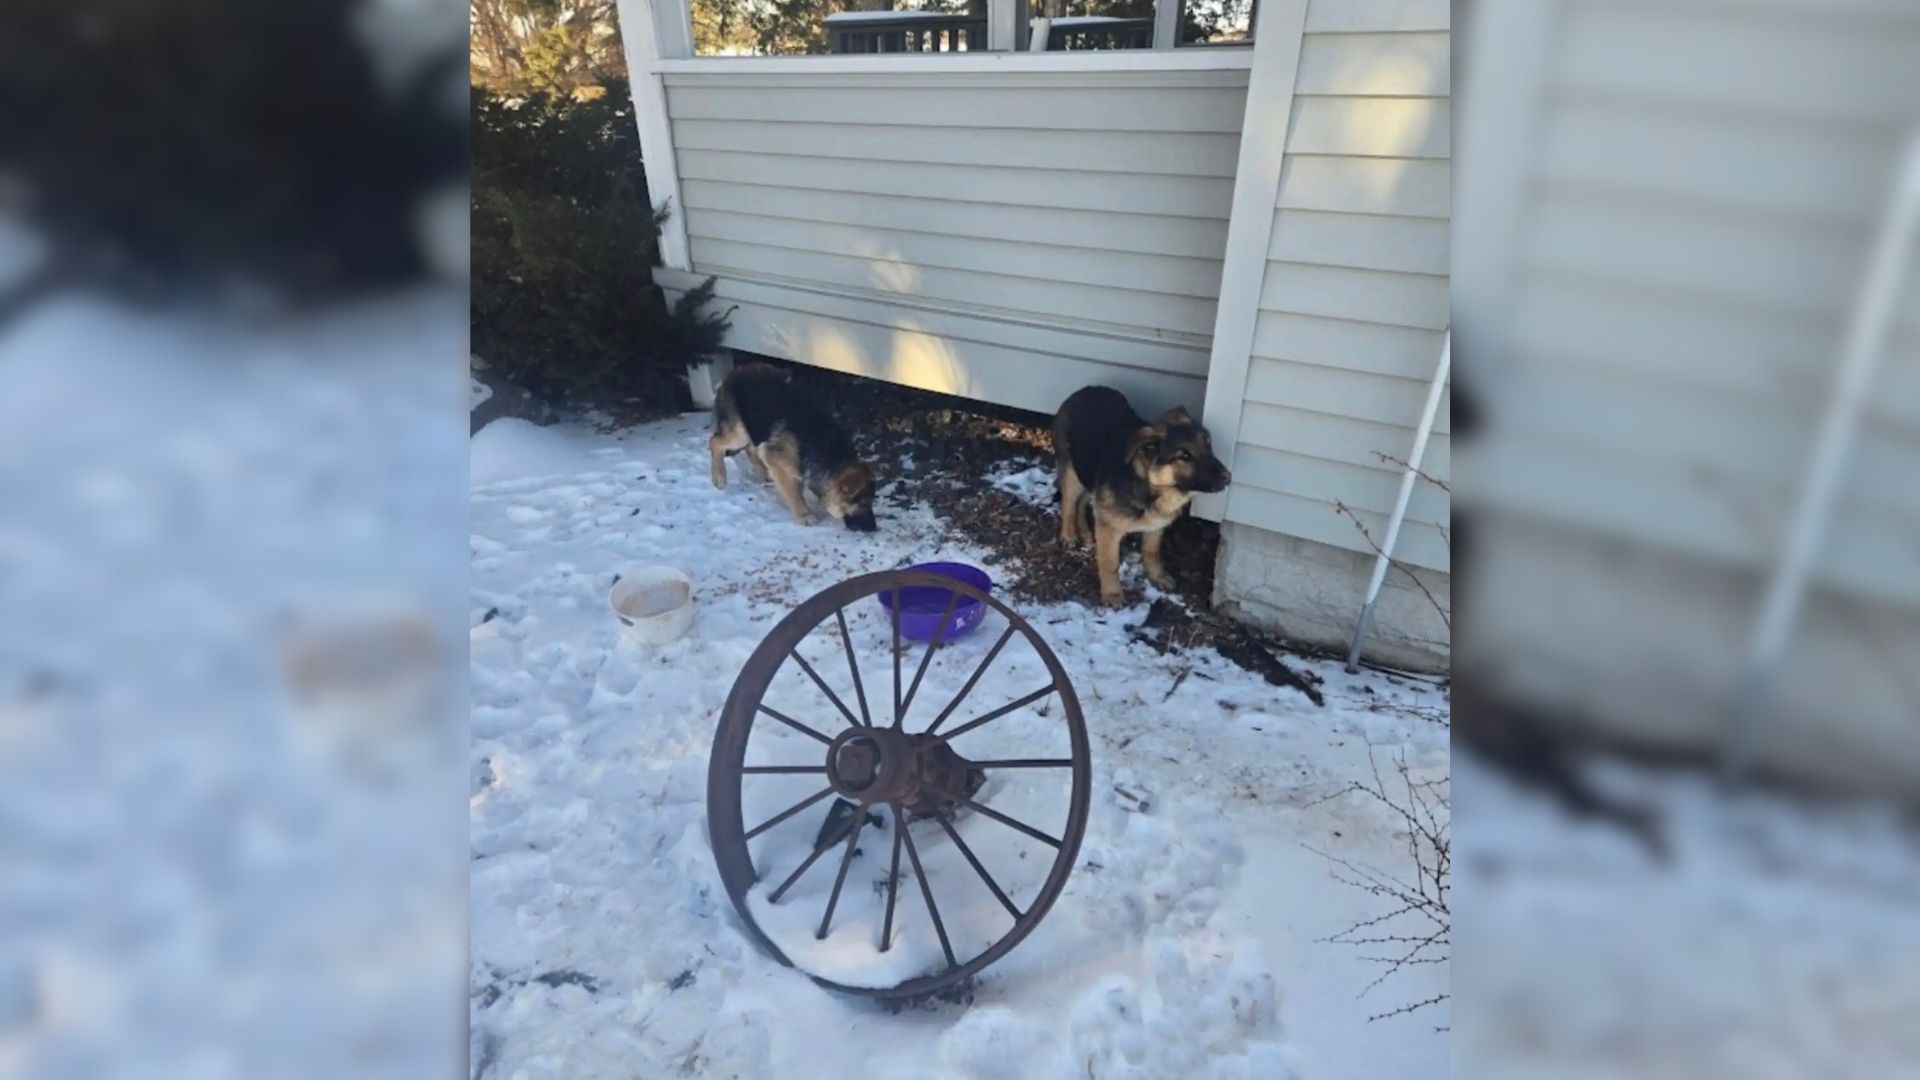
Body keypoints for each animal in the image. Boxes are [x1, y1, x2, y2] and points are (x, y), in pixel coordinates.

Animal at [710, 361, 879, 530]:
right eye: (863, 505)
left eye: (872, 503)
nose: (874, 528)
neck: (828, 452)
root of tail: (733, 373)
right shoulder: (780, 463)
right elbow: (793, 493)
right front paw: (804, 514)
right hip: (739, 433)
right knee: (715, 441)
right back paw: (719, 477)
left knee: (751, 448)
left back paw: (762, 472)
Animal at [1052, 384, 1228, 607]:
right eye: (1184, 455)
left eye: (1209, 445)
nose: (1228, 477)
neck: (1152, 486)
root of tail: (1084, 390)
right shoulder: (1109, 528)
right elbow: (1110, 563)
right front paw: (1112, 593)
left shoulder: (1156, 525)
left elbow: (1151, 551)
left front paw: (1157, 575)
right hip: (1071, 470)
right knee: (1069, 502)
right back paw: (1069, 535)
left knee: (1083, 501)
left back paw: (1085, 534)